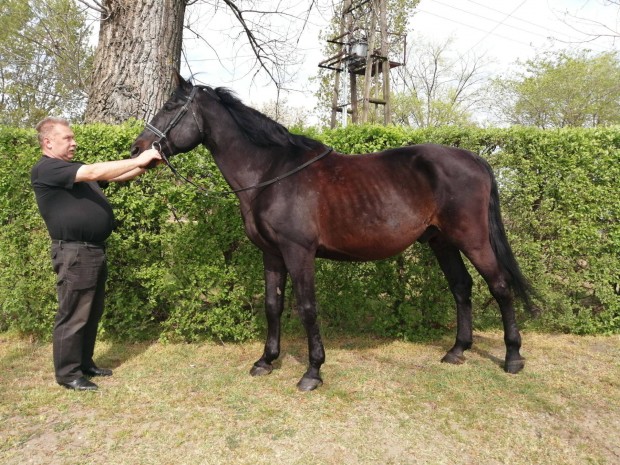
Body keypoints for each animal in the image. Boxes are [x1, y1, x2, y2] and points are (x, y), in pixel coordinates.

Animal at [131, 72, 533, 391]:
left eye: (171, 106)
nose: (137, 148)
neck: (271, 173)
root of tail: (476, 159)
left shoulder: (299, 252)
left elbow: (307, 307)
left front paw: (312, 371)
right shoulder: (272, 253)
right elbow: (273, 305)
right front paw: (266, 361)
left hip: (472, 239)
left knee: (500, 286)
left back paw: (513, 357)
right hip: (442, 241)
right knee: (461, 287)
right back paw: (457, 350)